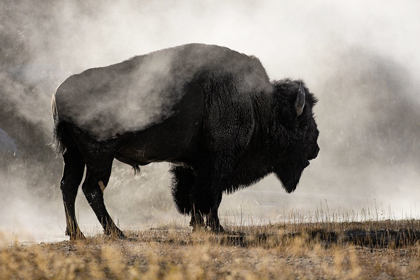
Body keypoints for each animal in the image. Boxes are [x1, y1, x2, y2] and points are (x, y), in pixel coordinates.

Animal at [53, 43, 318, 238]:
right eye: (303, 122)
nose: (315, 149)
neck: (257, 102)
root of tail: (59, 92)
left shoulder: (193, 165)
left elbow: (192, 195)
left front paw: (199, 224)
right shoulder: (218, 162)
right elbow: (210, 196)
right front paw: (216, 227)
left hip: (74, 155)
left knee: (68, 186)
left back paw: (76, 234)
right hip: (99, 156)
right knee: (91, 189)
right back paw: (116, 232)